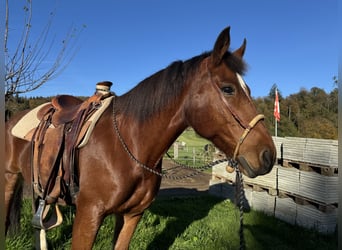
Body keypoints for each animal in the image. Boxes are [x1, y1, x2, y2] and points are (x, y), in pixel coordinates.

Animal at [5, 26, 276, 249]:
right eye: (228, 89)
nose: (268, 155)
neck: (128, 145)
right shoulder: (88, 215)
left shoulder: (131, 215)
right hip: (8, 178)